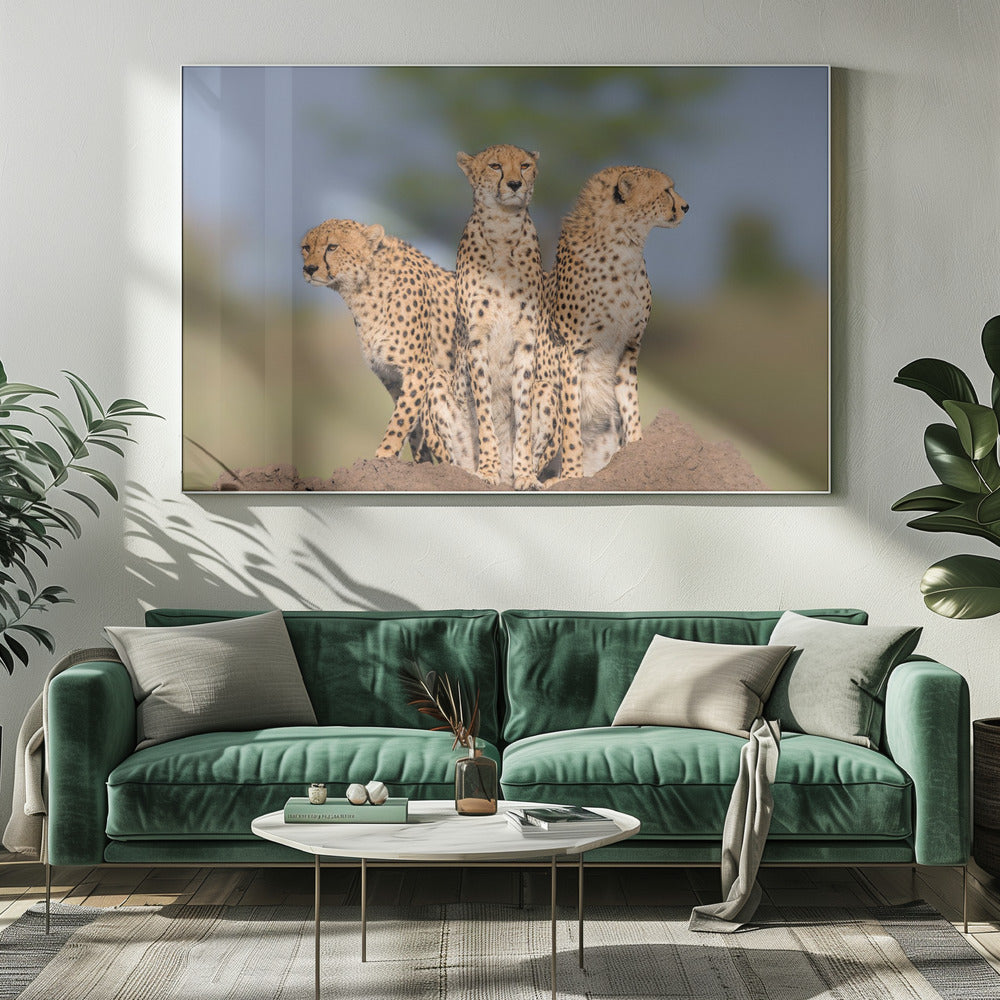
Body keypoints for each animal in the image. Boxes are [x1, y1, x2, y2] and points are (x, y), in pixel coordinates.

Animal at [300, 218, 474, 467]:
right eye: (306, 248)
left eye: (332, 247)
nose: (309, 269)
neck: (361, 289)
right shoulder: (392, 378)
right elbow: (414, 428)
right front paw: (418, 463)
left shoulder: (417, 371)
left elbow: (401, 419)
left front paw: (384, 454)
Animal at [455, 144, 546, 491]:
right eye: (495, 166)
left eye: (525, 165)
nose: (515, 184)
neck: (504, 230)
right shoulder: (477, 341)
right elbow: (484, 411)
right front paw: (488, 469)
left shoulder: (525, 344)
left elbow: (523, 417)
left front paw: (525, 475)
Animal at [541, 165, 689, 480]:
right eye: (666, 190)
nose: (686, 206)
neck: (626, 247)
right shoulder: (570, 351)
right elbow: (571, 421)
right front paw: (571, 476)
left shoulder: (629, 349)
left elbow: (631, 406)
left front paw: (637, 452)